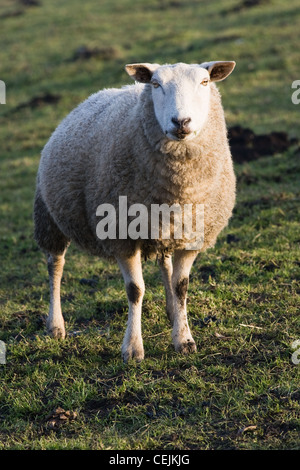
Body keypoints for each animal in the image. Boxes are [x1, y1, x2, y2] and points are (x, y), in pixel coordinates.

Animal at [34, 60, 237, 362]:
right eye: (155, 84)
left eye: (204, 82)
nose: (181, 122)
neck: (180, 189)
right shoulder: (122, 235)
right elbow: (135, 290)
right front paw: (132, 348)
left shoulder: (191, 237)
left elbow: (181, 285)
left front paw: (184, 339)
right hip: (49, 217)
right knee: (55, 266)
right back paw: (55, 325)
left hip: (162, 230)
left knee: (165, 264)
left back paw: (171, 311)